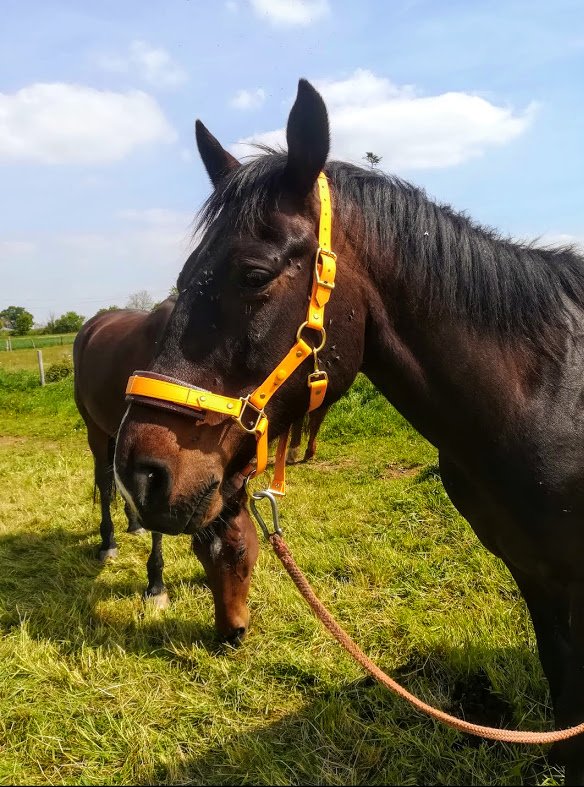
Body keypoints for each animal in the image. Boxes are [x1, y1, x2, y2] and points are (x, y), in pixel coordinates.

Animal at [73, 299, 259, 642]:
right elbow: (159, 526)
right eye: (200, 554)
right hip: (96, 431)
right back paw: (108, 544)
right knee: (105, 484)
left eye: (240, 551)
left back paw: (134, 524)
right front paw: (156, 587)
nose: (234, 633)